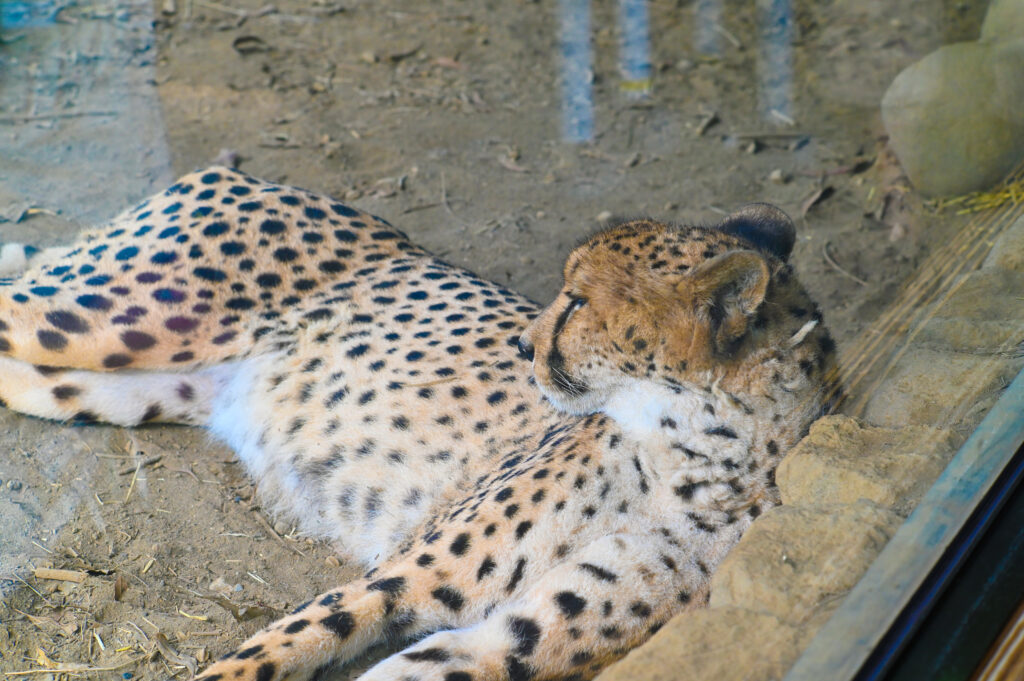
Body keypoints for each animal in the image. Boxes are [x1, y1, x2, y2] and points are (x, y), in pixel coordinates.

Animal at [0, 166, 837, 681]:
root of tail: (251, 178)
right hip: (94, 322)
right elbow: (275, 646)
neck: (692, 452)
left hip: (115, 384)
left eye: (577, 302)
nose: (523, 341)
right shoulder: (405, 575)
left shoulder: (508, 639)